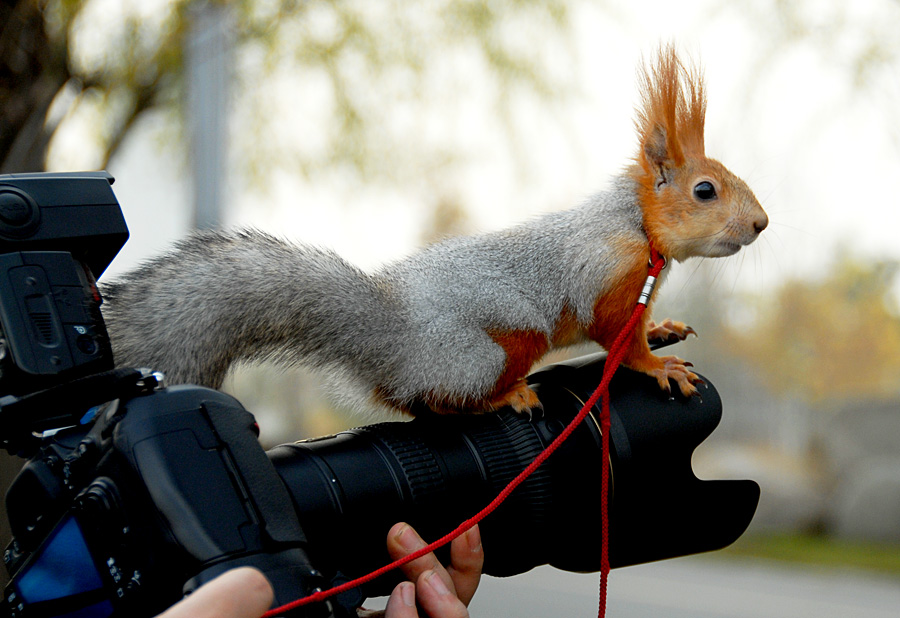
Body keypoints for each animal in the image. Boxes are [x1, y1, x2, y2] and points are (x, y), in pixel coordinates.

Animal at [103, 47, 768, 414]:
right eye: (704, 191)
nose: (761, 224)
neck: (636, 226)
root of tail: (391, 339)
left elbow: (636, 328)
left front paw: (662, 328)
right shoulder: (605, 278)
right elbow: (616, 342)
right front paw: (657, 366)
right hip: (489, 350)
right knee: (442, 402)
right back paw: (507, 396)